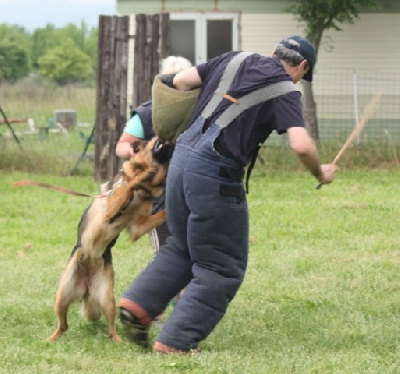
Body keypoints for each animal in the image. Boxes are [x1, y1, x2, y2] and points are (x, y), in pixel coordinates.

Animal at [46, 137, 173, 342]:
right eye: (151, 139)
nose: (170, 139)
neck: (144, 190)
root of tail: (86, 286)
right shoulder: (111, 207)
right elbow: (128, 185)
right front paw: (141, 175)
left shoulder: (137, 228)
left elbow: (160, 212)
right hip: (62, 295)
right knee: (63, 325)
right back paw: (51, 339)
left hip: (107, 299)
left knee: (110, 327)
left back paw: (118, 341)